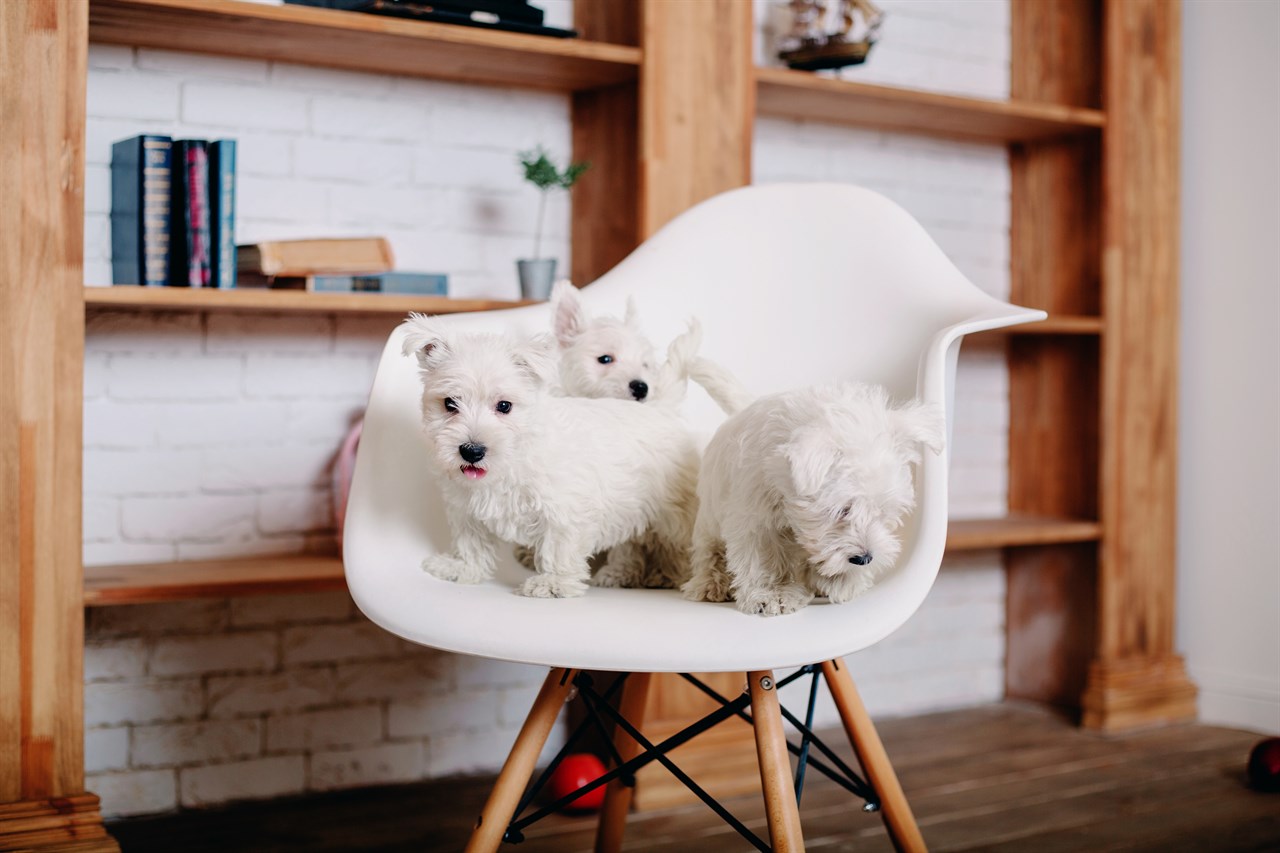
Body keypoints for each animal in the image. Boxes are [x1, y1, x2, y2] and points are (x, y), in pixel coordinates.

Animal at [399, 313, 701, 596]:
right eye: (450, 403)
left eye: (504, 406)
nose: (472, 451)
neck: (512, 458)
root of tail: (661, 408)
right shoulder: (466, 509)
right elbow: (470, 543)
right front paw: (460, 568)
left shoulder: (564, 509)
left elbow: (558, 548)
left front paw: (553, 584)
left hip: (673, 511)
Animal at [686, 368, 947, 614]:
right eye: (842, 510)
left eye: (882, 511)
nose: (863, 559)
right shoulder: (753, 517)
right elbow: (764, 557)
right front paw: (772, 593)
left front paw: (841, 579)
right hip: (710, 517)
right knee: (709, 550)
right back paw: (711, 583)